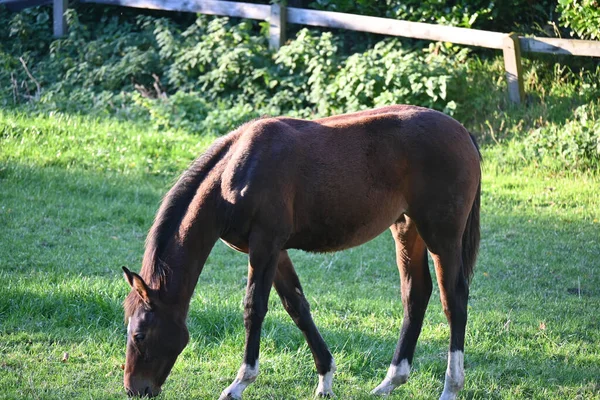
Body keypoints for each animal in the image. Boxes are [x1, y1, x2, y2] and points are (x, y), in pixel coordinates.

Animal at [122, 104, 482, 398]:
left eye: (139, 335)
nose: (135, 389)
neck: (237, 173)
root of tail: (463, 132)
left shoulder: (265, 245)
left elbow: (254, 308)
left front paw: (239, 383)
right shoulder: (276, 251)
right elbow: (297, 307)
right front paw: (325, 379)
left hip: (442, 237)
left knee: (454, 299)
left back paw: (451, 387)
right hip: (407, 229)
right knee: (416, 294)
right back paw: (391, 381)